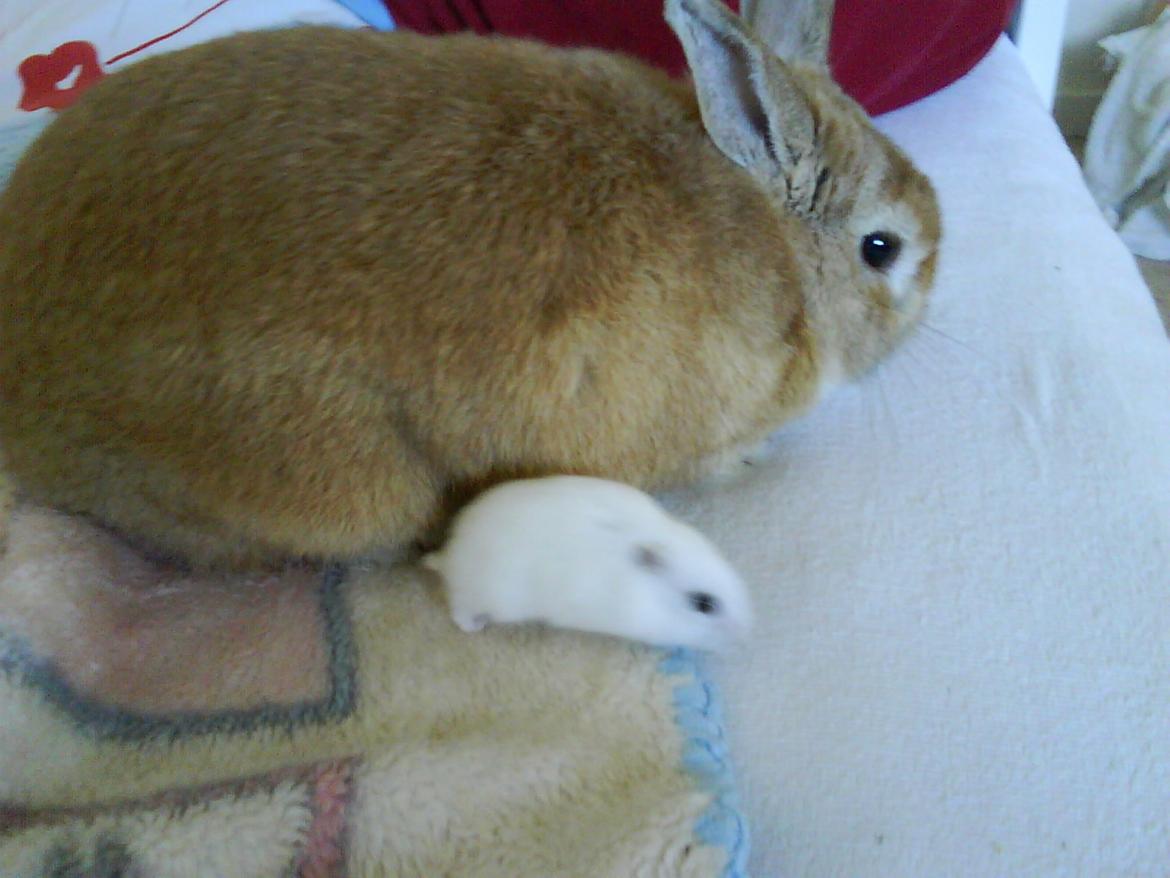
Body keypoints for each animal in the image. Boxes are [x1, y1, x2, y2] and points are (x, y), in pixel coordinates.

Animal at [422, 476, 752, 651]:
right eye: (703, 603)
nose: (747, 631)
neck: (650, 592)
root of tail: (450, 555)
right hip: (488, 598)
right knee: (460, 609)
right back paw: (474, 626)